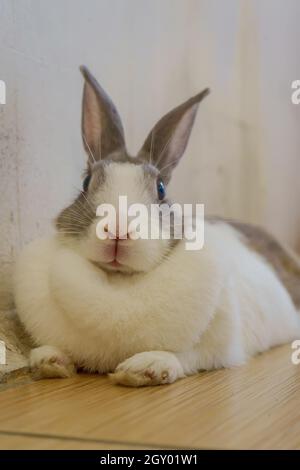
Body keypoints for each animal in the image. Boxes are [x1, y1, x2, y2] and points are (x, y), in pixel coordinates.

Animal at [13, 67, 300, 390]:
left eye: (161, 189)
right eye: (86, 183)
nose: (118, 230)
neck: (119, 282)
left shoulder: (221, 347)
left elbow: (187, 356)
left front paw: (144, 367)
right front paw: (48, 360)